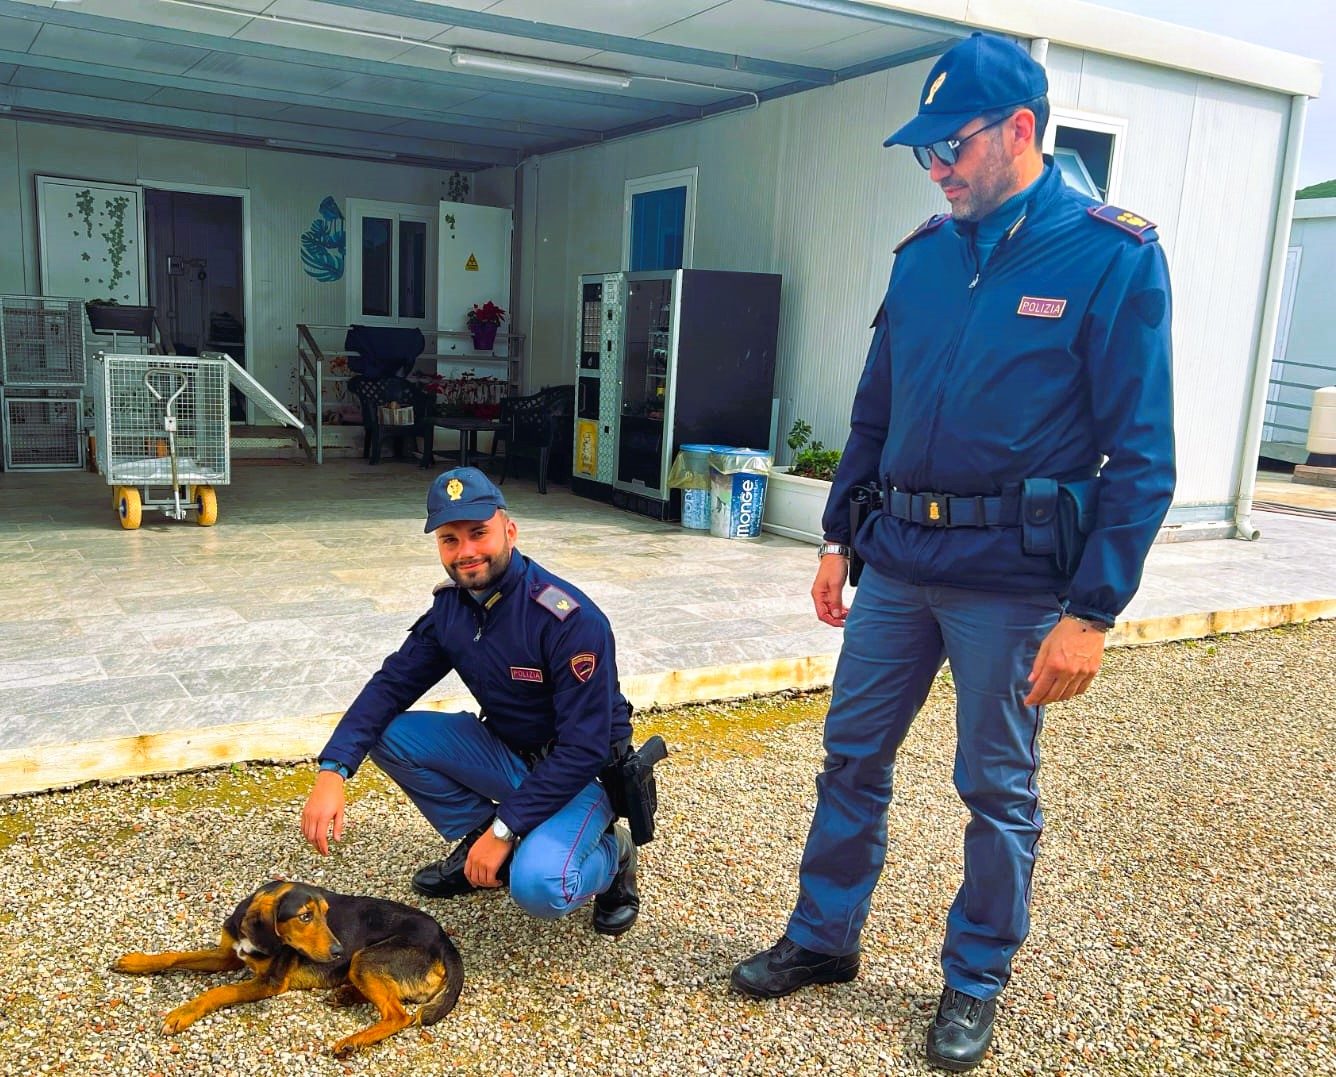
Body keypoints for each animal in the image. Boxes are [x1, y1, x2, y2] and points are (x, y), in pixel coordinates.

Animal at [110, 881, 464, 1058]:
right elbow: (175, 955)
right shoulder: (226, 955)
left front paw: (182, 1013)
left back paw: (353, 1041)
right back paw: (346, 995)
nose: (338, 952)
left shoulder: (269, 982)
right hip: (362, 965)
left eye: (325, 914)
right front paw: (136, 961)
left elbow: (219, 990)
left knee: (398, 1015)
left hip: (365, 958)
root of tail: (445, 940)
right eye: (305, 916)